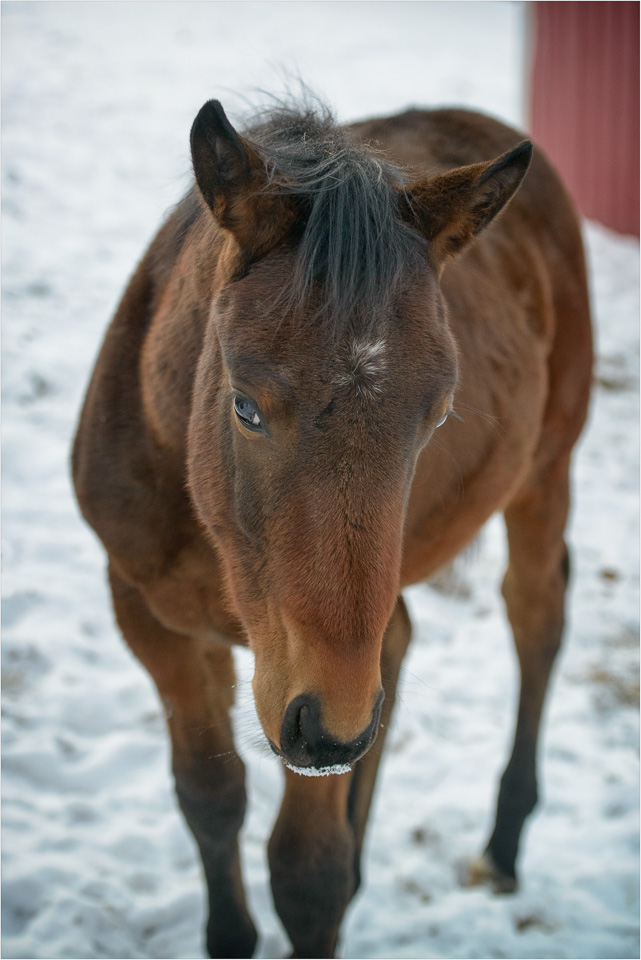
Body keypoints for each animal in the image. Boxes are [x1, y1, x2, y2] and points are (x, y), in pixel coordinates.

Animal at [72, 92, 592, 960]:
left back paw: (501, 845)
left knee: (534, 616)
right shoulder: (147, 615)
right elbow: (209, 798)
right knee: (408, 637)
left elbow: (305, 873)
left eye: (437, 414)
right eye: (245, 406)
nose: (331, 730)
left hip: (543, 472)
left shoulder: (314, 691)